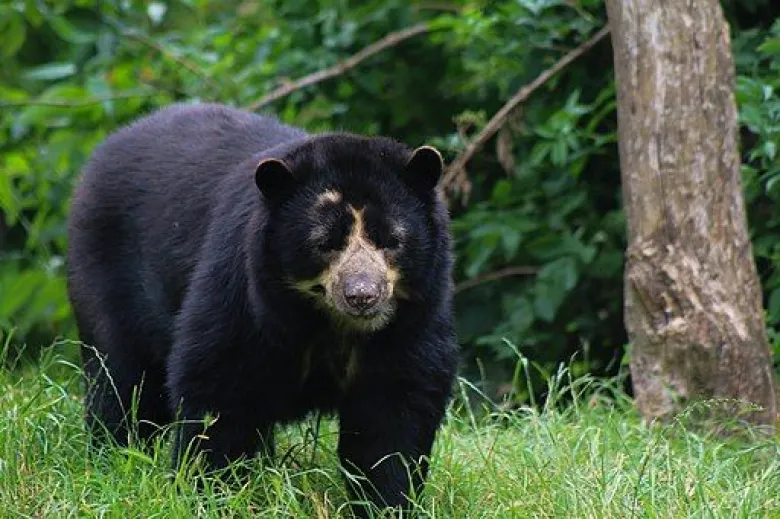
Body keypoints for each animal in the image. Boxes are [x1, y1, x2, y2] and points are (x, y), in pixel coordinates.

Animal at [67, 102, 460, 516]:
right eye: (324, 243)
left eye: (391, 240)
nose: (362, 295)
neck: (329, 324)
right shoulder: (242, 299)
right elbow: (217, 391)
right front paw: (209, 493)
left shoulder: (413, 324)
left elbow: (394, 418)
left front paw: (385, 503)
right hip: (105, 274)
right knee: (122, 379)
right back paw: (116, 456)